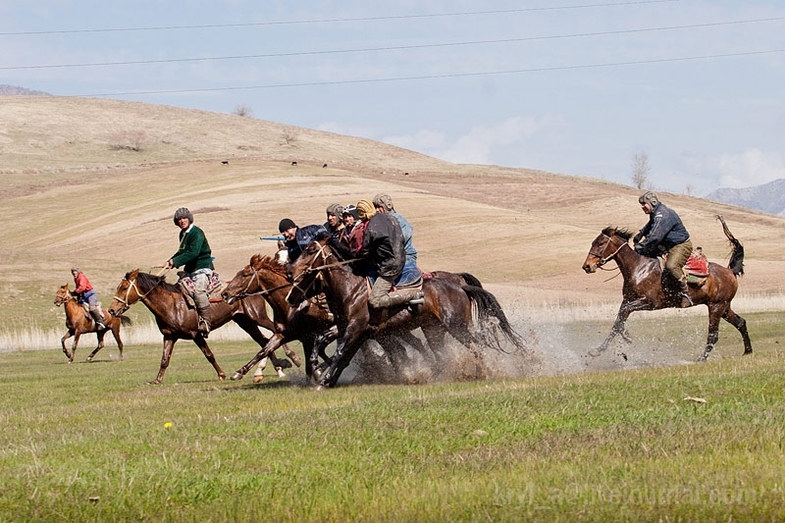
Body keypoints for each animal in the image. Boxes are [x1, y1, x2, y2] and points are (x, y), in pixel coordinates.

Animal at [105, 270, 298, 384]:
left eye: (124, 287)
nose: (112, 310)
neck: (171, 304)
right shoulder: (169, 336)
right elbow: (164, 359)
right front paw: (157, 380)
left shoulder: (196, 334)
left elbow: (209, 355)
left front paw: (221, 375)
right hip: (245, 322)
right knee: (264, 341)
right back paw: (272, 369)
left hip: (257, 317)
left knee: (273, 332)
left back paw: (291, 359)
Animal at [284, 237, 524, 388]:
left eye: (311, 250)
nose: (289, 272)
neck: (351, 288)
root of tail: (459, 287)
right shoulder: (360, 332)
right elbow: (334, 352)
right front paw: (323, 376)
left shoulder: (355, 329)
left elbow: (340, 352)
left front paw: (322, 378)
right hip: (434, 331)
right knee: (440, 352)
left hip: (457, 327)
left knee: (477, 345)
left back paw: (483, 372)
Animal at [580, 215, 752, 362]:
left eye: (600, 243)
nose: (587, 266)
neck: (638, 268)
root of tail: (730, 271)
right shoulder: (628, 300)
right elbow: (617, 322)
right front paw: (600, 349)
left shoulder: (649, 303)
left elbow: (621, 318)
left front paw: (624, 338)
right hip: (724, 308)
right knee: (741, 323)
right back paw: (748, 351)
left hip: (716, 307)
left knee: (713, 335)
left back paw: (701, 359)